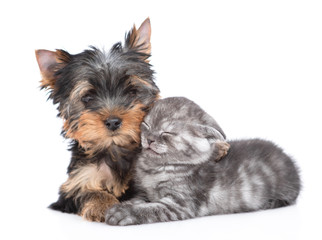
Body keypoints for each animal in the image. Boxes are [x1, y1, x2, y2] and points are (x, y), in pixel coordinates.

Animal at [35, 18, 160, 221]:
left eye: (132, 91)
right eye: (87, 98)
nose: (113, 122)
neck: (114, 149)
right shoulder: (77, 181)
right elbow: (89, 192)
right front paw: (105, 205)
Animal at [104, 97, 300, 225]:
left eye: (167, 133)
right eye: (146, 126)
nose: (150, 139)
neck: (155, 169)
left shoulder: (180, 203)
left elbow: (151, 208)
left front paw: (124, 212)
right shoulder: (144, 193)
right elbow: (137, 200)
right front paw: (121, 205)